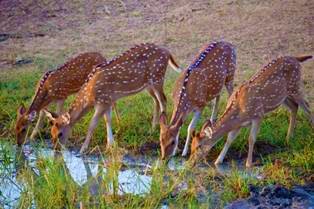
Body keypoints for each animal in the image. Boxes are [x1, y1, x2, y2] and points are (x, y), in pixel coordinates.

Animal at [43, 42, 182, 153]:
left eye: (60, 133)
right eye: (51, 133)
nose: (55, 149)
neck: (90, 96)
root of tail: (167, 52)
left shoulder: (102, 101)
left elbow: (92, 124)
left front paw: (83, 149)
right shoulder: (108, 100)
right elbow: (108, 120)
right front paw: (110, 145)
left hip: (158, 77)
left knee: (163, 100)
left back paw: (163, 128)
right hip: (149, 84)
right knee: (156, 100)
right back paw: (152, 128)